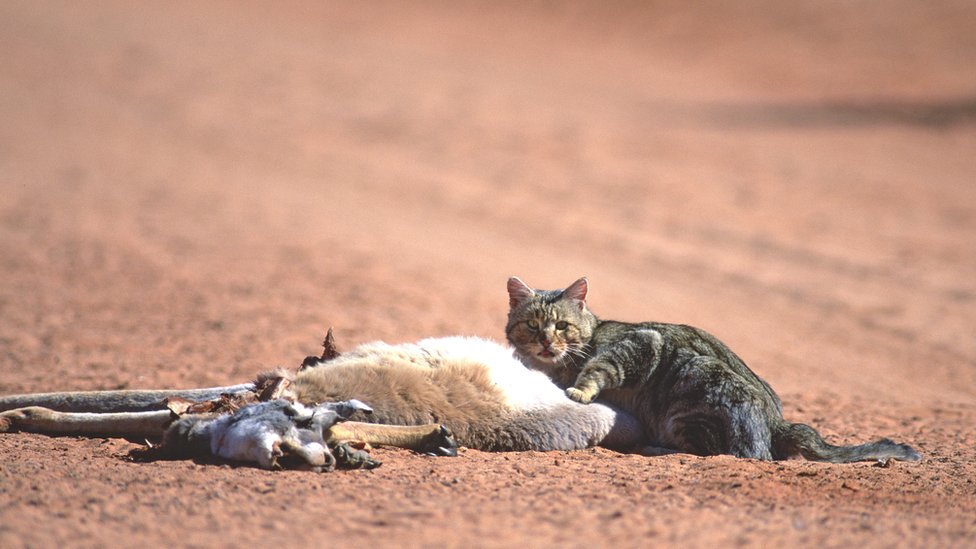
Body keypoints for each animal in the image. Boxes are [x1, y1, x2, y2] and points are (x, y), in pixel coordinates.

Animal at [504, 276, 924, 460]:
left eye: (561, 326)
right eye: (532, 326)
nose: (546, 342)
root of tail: (780, 425)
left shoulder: (643, 344)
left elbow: (599, 368)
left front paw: (579, 389)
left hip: (692, 394)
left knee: (723, 453)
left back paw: (654, 446)